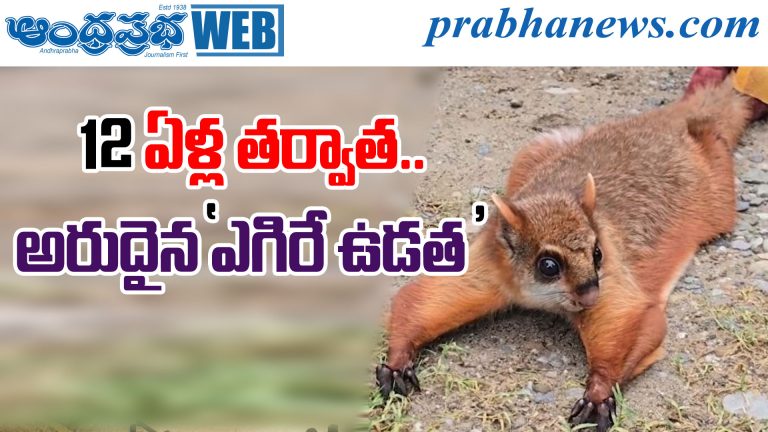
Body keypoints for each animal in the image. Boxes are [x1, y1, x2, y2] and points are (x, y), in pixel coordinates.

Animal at [376, 74, 756, 431]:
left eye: (599, 253)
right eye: (548, 265)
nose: (590, 294)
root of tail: (665, 121)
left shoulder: (614, 282)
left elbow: (632, 321)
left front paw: (598, 393)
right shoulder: (486, 268)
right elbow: (421, 300)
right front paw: (396, 362)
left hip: (715, 193)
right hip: (537, 149)